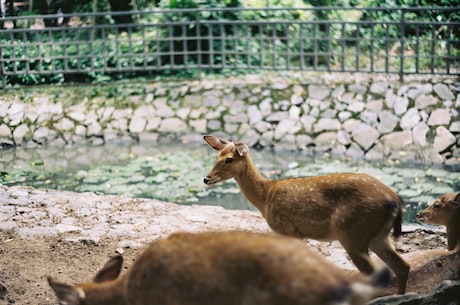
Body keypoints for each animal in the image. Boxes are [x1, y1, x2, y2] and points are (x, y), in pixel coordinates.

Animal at [204, 135, 410, 292]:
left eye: (229, 159)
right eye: (217, 156)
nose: (206, 178)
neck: (267, 197)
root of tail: (396, 200)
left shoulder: (288, 229)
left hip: (353, 233)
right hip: (378, 236)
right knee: (402, 267)